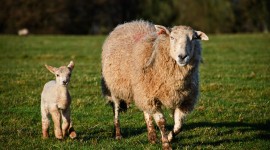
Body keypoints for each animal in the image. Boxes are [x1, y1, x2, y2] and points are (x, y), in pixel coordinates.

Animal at [101, 20, 209, 150]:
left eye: (193, 38)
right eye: (172, 37)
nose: (182, 57)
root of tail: (130, 23)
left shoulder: (184, 100)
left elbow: (179, 125)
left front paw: (169, 137)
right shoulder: (153, 97)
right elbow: (162, 122)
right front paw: (166, 144)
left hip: (142, 90)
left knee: (147, 112)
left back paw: (152, 136)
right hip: (116, 89)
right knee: (116, 110)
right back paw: (118, 134)